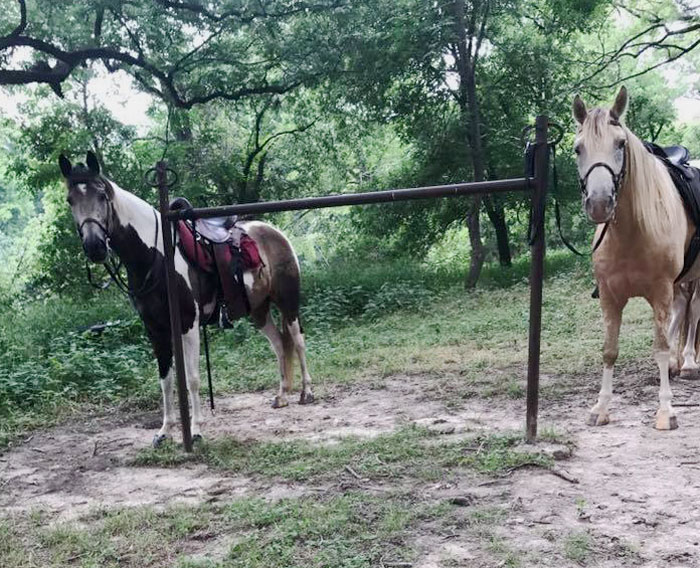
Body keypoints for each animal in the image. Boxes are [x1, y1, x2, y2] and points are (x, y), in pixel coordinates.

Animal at [60, 153, 314, 446]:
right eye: (70, 200)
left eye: (102, 196)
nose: (95, 247)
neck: (157, 257)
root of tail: (275, 233)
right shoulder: (156, 329)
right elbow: (166, 380)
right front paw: (164, 431)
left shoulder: (188, 325)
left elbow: (192, 378)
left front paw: (196, 430)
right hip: (258, 311)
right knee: (279, 345)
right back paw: (282, 395)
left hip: (287, 302)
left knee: (297, 340)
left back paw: (307, 392)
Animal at [572, 86, 696, 428]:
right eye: (577, 149)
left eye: (620, 144)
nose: (599, 204)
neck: (632, 232)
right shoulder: (610, 297)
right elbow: (610, 350)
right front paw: (601, 408)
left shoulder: (661, 290)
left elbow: (661, 348)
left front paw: (666, 411)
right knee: (683, 309)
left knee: (694, 310)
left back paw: (689, 362)